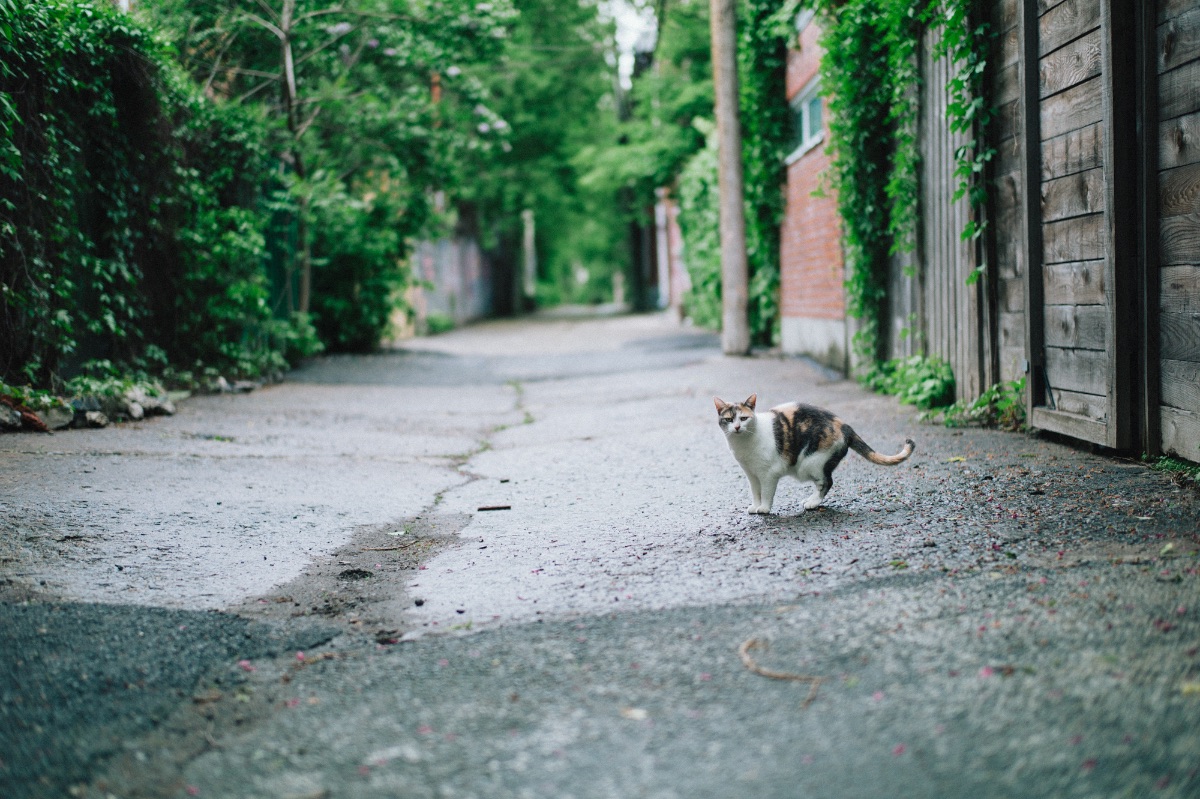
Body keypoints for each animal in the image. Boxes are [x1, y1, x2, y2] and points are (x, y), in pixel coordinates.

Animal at [710, 393, 916, 515]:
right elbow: (755, 492)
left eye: (744, 418)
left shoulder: (768, 474)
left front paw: (764, 508)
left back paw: (812, 503)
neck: (743, 445)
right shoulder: (751, 474)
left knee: (827, 482)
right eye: (729, 419)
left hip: (811, 463)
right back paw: (810, 500)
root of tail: (845, 425)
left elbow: (767, 493)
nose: (737, 427)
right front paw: (755, 505)